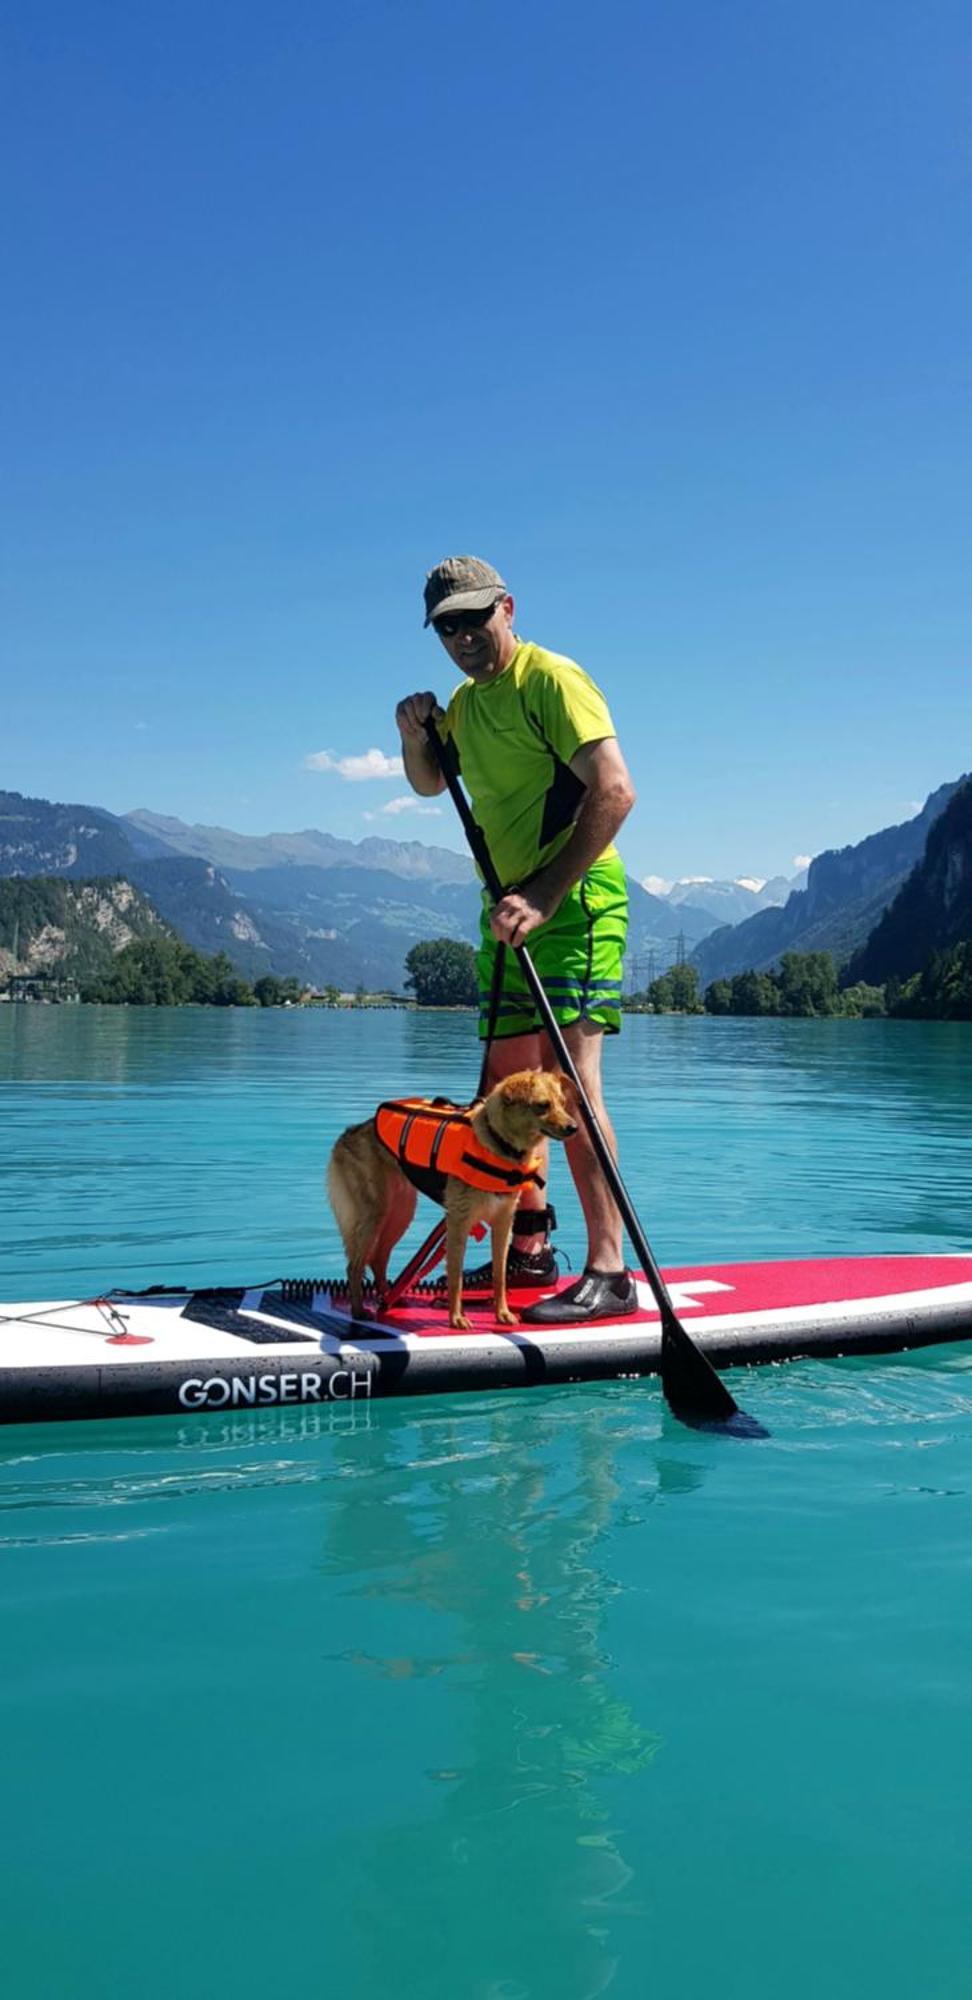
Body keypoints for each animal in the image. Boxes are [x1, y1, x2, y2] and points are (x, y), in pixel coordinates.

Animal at [326, 1072, 576, 1336]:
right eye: (542, 1105)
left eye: (562, 1103)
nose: (574, 1127)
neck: (498, 1142)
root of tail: (348, 1133)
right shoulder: (458, 1222)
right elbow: (456, 1277)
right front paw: (456, 1318)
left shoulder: (503, 1222)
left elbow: (499, 1275)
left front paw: (502, 1314)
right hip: (373, 1215)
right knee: (354, 1266)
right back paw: (359, 1311)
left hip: (400, 1213)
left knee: (378, 1259)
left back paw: (388, 1300)